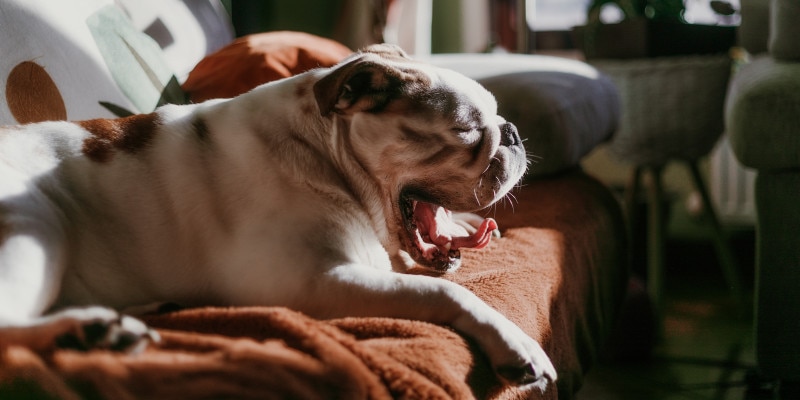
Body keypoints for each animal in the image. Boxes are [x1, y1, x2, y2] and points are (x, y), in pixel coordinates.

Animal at [0, 44, 556, 389]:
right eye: (466, 129)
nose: (512, 133)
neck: (325, 153)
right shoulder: (311, 283)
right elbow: (443, 292)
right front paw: (513, 342)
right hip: (36, 226)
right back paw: (91, 332)